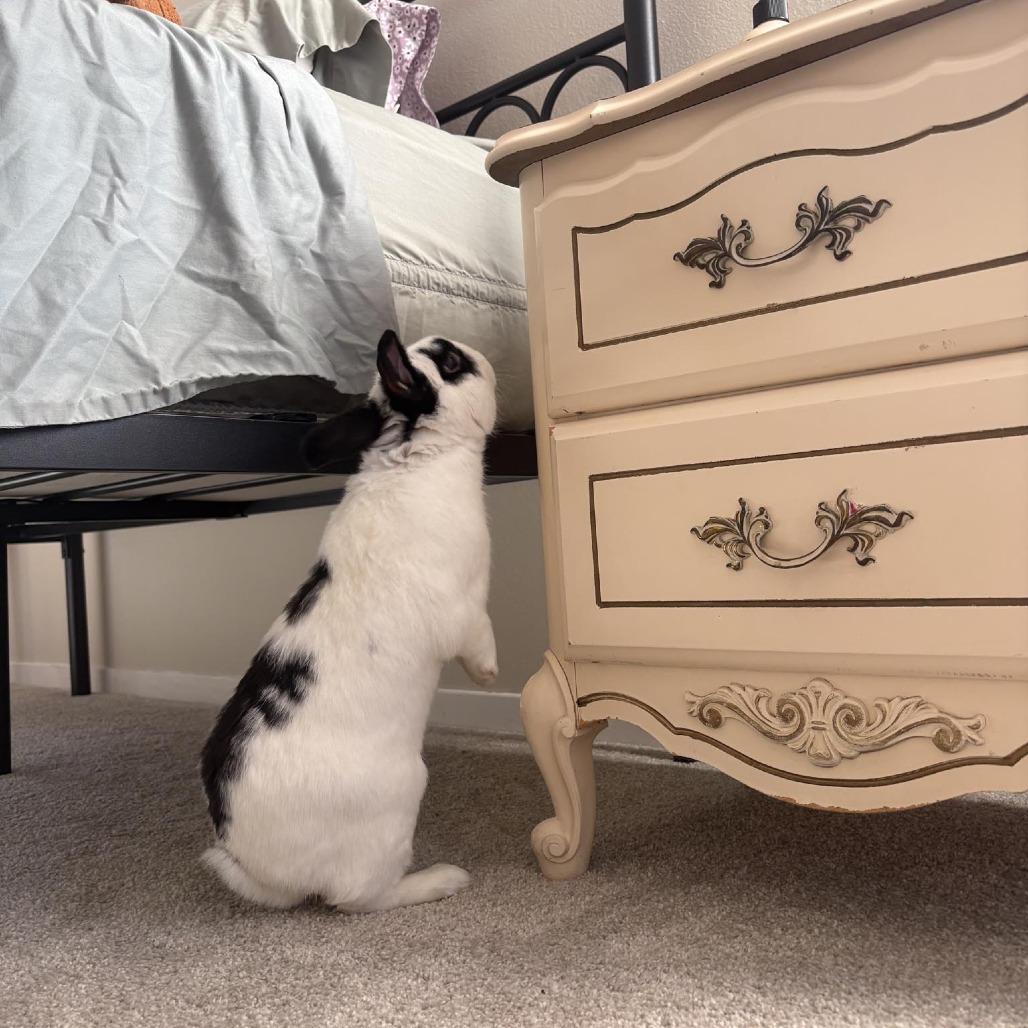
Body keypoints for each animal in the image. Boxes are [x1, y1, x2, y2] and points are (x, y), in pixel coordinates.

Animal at [200, 330, 498, 912]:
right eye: (451, 361)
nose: (487, 357)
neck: (415, 459)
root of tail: (270, 873)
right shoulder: (464, 608)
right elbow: (480, 635)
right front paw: (491, 675)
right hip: (401, 798)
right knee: (359, 897)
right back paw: (441, 880)